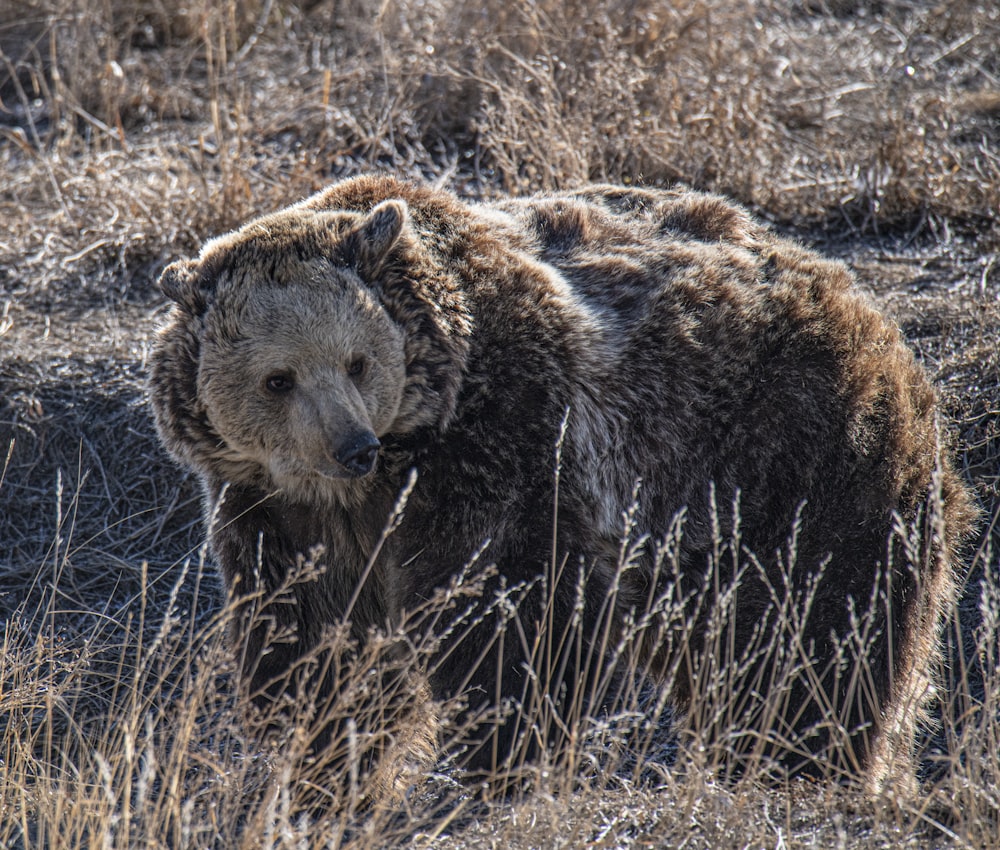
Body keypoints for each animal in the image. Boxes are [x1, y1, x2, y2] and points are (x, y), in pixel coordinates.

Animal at [150, 172, 976, 796]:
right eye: (278, 378)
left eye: (357, 361)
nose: (351, 445)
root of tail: (876, 316)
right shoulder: (276, 508)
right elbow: (312, 642)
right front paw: (323, 761)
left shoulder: (504, 441)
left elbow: (511, 622)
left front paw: (497, 757)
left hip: (793, 459)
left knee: (815, 639)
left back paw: (798, 766)